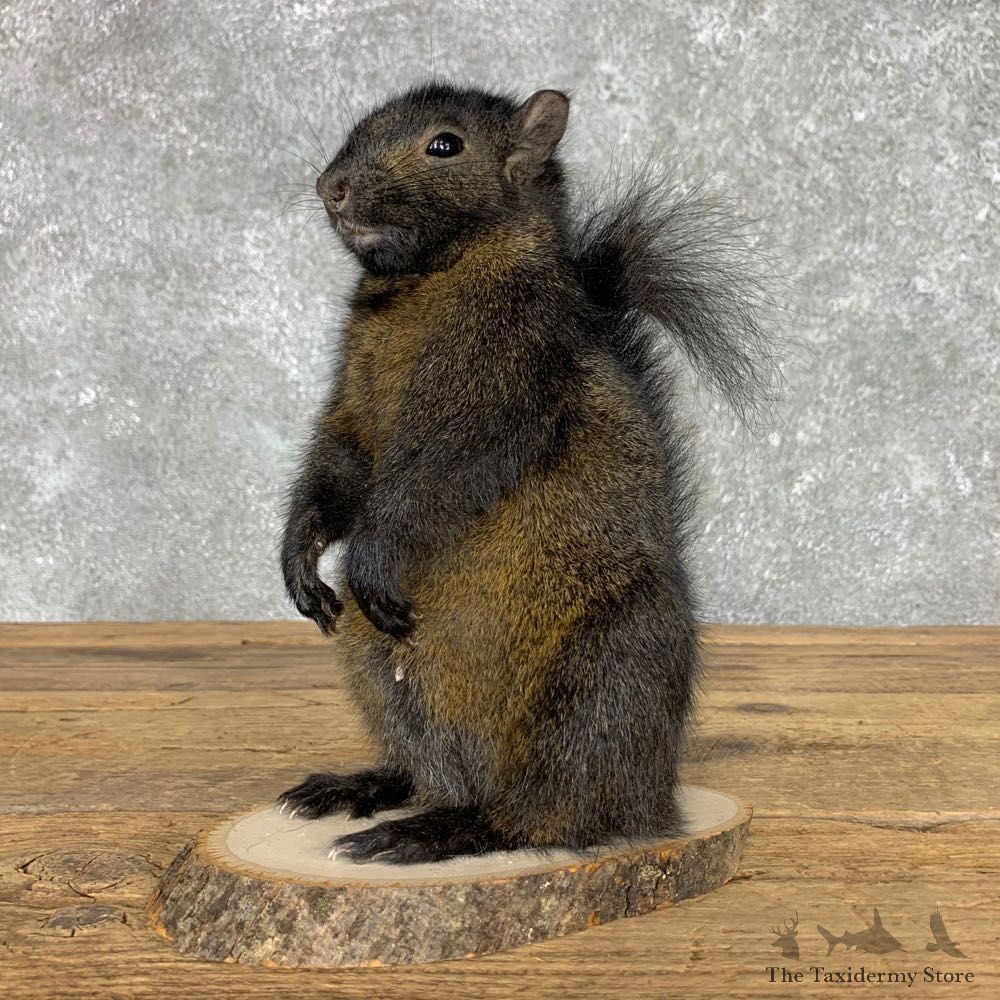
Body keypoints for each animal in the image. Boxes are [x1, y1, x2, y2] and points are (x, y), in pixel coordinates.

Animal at [276, 82, 776, 864]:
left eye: (444, 145)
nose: (333, 188)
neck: (423, 279)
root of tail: (654, 795)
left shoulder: (503, 382)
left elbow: (432, 479)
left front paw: (371, 555)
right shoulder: (352, 401)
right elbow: (336, 464)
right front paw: (299, 561)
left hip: (600, 686)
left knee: (543, 816)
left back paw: (437, 831)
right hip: (381, 674)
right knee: (430, 772)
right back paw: (366, 787)